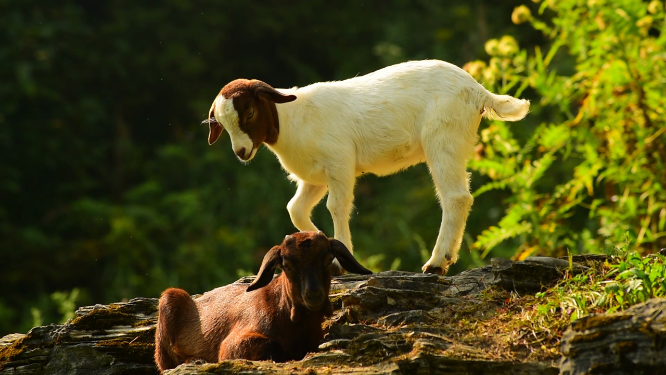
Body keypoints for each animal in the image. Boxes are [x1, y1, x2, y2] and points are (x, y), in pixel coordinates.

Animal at [152, 232, 370, 374]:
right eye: (287, 266)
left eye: (327, 260)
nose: (313, 294)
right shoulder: (231, 346)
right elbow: (271, 346)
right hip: (169, 303)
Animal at [205, 59, 528, 276]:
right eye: (222, 124)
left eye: (248, 112)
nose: (241, 152)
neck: (292, 118)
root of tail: (477, 90)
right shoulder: (315, 177)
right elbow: (295, 209)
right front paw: (319, 242)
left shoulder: (339, 163)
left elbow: (336, 207)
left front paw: (340, 259)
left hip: (444, 137)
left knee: (456, 197)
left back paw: (437, 263)